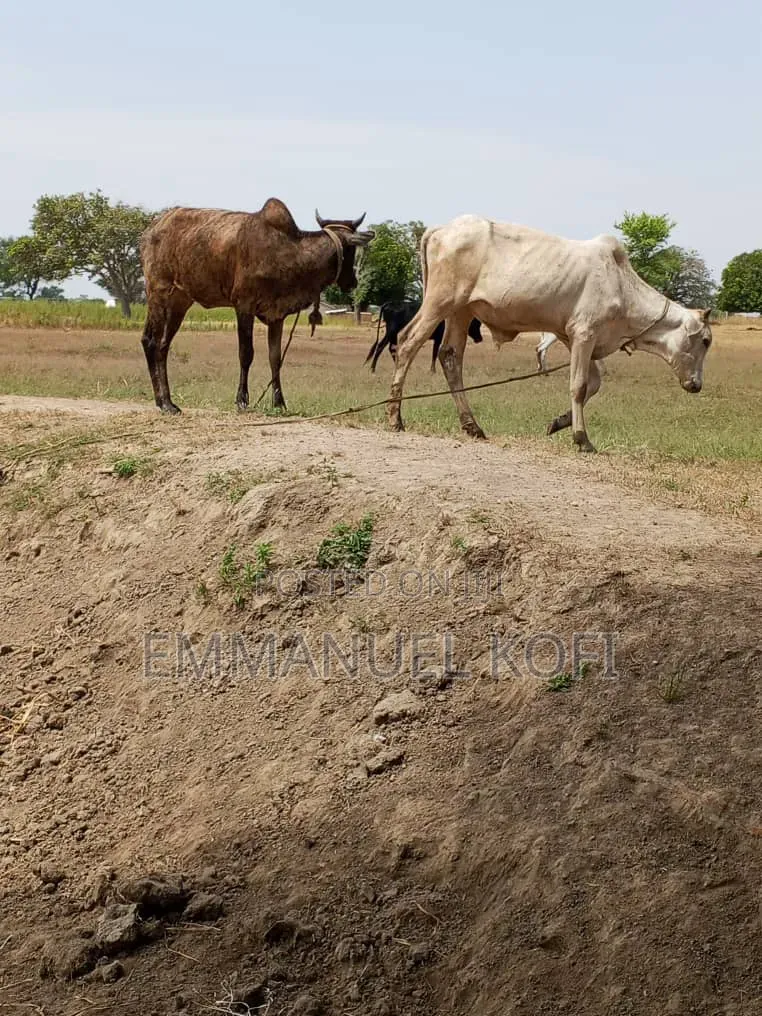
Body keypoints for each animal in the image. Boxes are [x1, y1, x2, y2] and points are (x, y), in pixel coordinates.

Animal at [139, 199, 374, 414]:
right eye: (351, 249)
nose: (352, 282)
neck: (291, 253)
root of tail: (152, 228)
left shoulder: (277, 315)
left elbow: (275, 358)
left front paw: (279, 402)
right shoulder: (244, 306)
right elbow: (246, 354)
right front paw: (242, 400)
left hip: (180, 302)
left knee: (163, 345)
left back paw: (166, 401)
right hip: (158, 293)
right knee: (150, 341)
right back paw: (164, 403)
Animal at [386, 217, 712, 452]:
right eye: (706, 340)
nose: (696, 385)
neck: (621, 285)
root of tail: (441, 229)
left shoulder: (571, 337)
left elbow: (594, 384)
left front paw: (559, 422)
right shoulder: (584, 333)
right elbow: (579, 386)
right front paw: (582, 438)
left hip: (462, 310)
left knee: (450, 356)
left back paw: (472, 426)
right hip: (440, 301)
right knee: (407, 342)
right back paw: (395, 418)